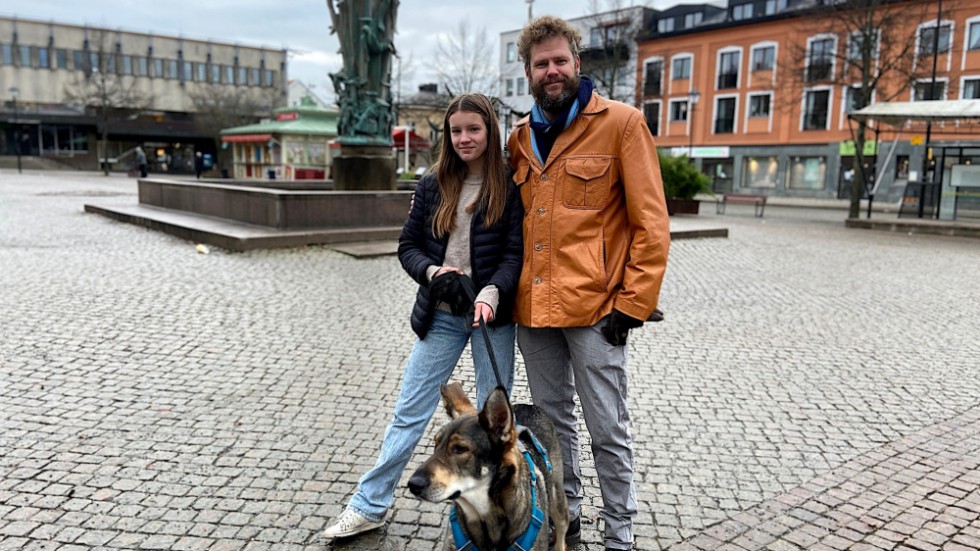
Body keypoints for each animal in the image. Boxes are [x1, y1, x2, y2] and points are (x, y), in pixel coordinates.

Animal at [410, 384, 572, 551]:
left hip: (559, 503)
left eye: (460, 449)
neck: (485, 517)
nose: (413, 484)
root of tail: (529, 406)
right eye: (435, 445)